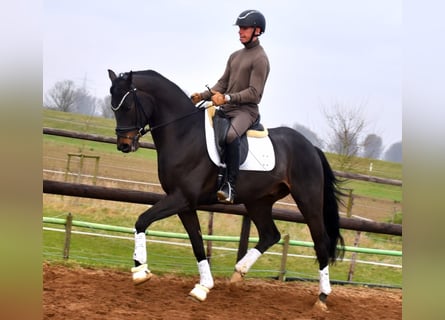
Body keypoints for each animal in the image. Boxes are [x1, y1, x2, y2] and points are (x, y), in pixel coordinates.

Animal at [107, 68, 344, 310]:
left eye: (127, 107)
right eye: (113, 107)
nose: (124, 145)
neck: (184, 133)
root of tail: (311, 147)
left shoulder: (181, 198)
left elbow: (142, 220)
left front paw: (140, 272)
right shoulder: (184, 204)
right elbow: (197, 243)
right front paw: (203, 287)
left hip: (308, 200)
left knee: (320, 242)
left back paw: (322, 297)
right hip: (258, 202)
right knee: (270, 234)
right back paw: (238, 274)